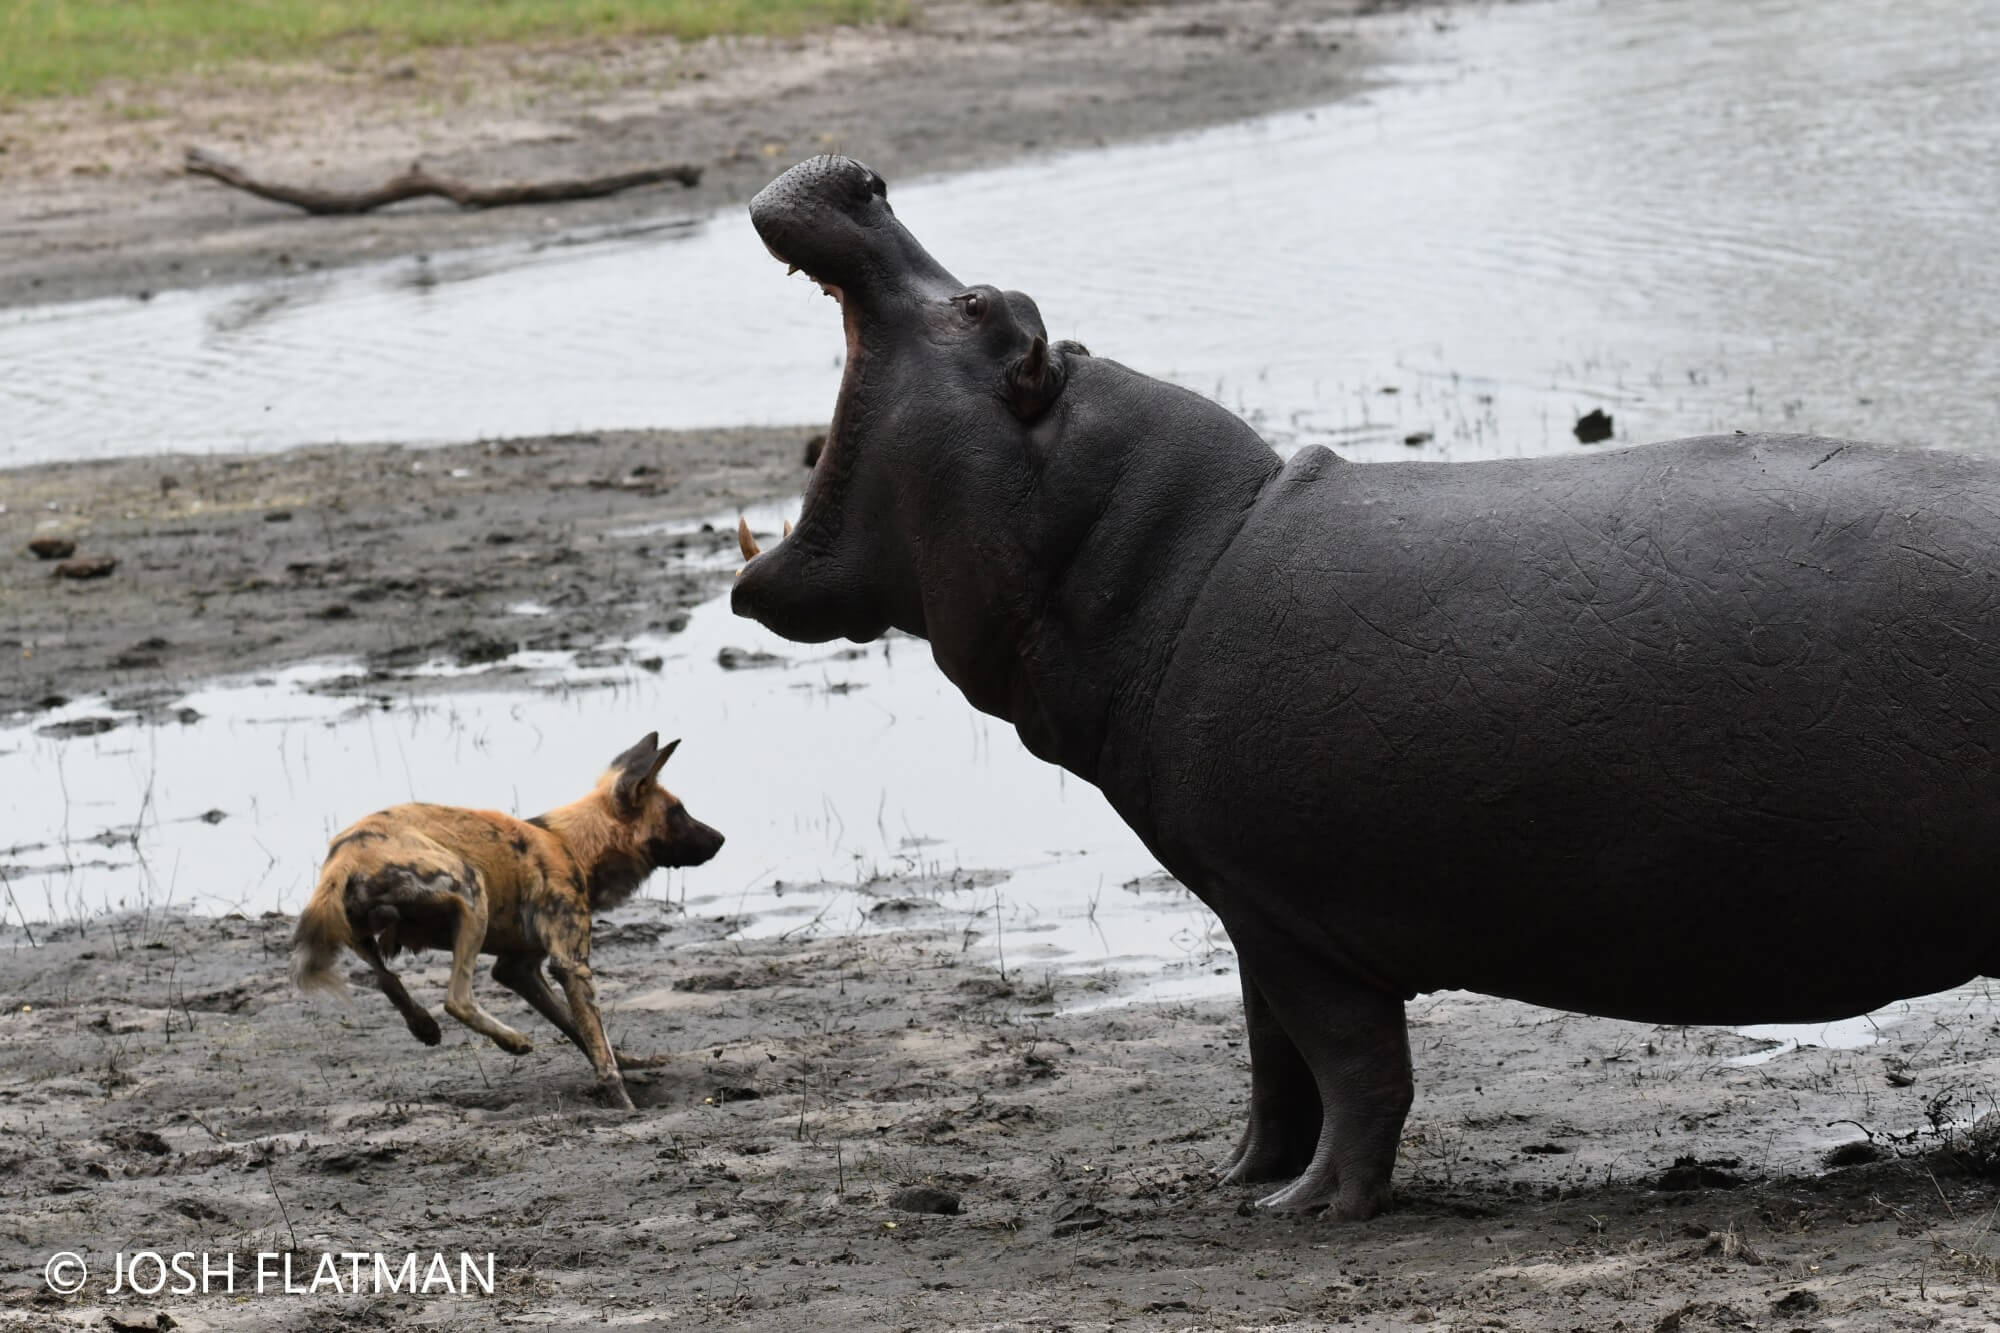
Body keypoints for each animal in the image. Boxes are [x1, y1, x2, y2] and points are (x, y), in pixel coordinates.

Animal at [290, 732, 728, 1104]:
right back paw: (512, 1041)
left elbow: (579, 1030)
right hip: (471, 891)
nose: (721, 838)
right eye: (679, 812)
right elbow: (597, 1044)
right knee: (456, 999)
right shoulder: (571, 965)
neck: (573, 844)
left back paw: (424, 1026)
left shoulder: (519, 969)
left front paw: (629, 1063)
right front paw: (623, 1102)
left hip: (365, 928)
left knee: (389, 980)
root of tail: (345, 856)